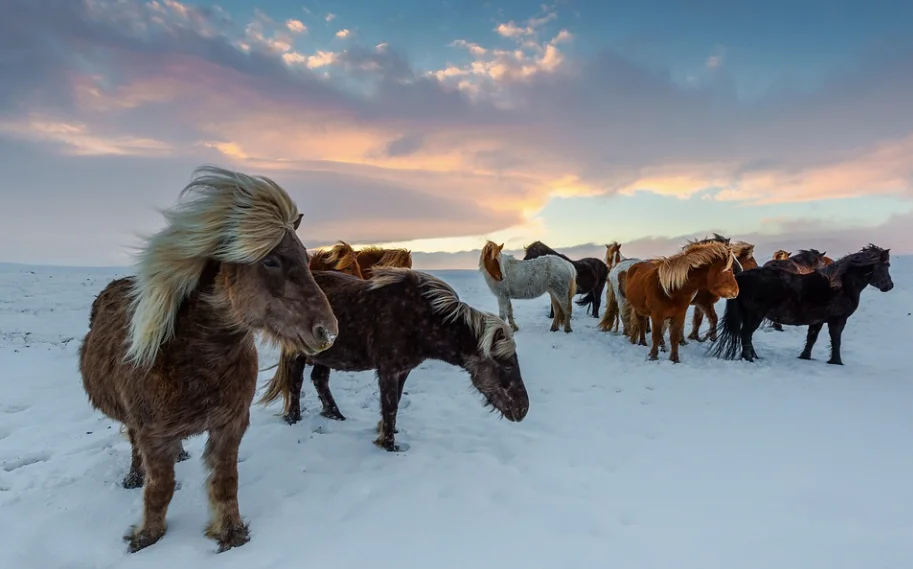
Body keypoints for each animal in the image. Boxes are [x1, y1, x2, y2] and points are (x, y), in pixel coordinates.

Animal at [78, 166, 338, 553]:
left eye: (307, 259)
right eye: (271, 260)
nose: (328, 332)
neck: (196, 360)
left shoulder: (230, 425)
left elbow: (225, 481)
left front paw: (230, 533)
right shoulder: (153, 435)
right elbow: (160, 488)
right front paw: (146, 537)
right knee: (133, 444)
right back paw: (134, 475)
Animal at [259, 268, 530, 452]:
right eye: (506, 364)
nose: (523, 410)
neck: (420, 319)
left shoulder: (403, 370)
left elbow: (395, 402)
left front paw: (386, 431)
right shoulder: (388, 370)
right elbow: (390, 405)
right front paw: (388, 444)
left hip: (325, 355)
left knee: (319, 379)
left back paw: (335, 416)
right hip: (297, 354)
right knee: (295, 383)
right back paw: (294, 419)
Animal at [708, 244, 893, 365]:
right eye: (886, 265)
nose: (889, 286)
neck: (838, 285)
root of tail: (740, 277)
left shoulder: (818, 321)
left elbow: (812, 338)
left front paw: (805, 356)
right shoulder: (837, 320)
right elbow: (836, 340)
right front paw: (836, 362)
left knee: (746, 335)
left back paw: (754, 356)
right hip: (755, 316)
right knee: (746, 334)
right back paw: (749, 358)